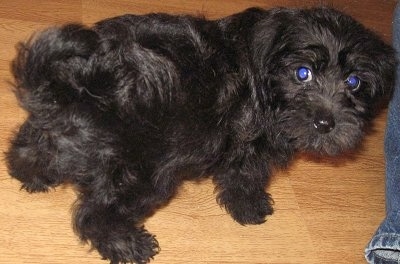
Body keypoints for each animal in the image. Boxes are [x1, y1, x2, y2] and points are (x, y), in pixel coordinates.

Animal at [5, 6, 394, 264]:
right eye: (303, 74)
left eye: (354, 82)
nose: (326, 123)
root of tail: (77, 82)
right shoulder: (248, 146)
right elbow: (243, 178)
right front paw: (250, 207)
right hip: (142, 171)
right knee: (94, 213)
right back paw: (127, 244)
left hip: (62, 133)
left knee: (29, 147)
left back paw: (32, 176)